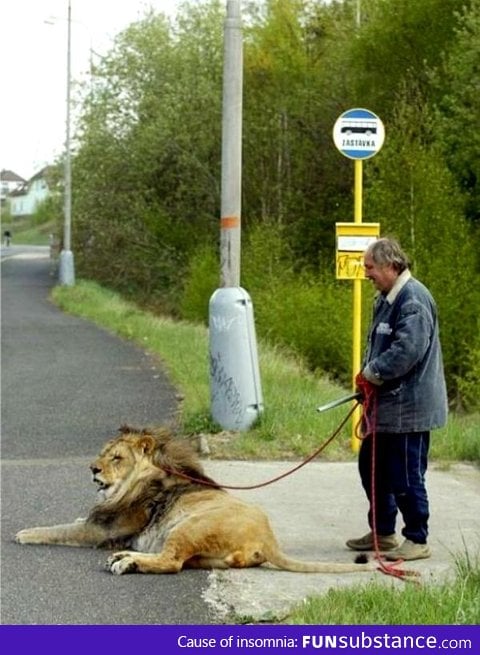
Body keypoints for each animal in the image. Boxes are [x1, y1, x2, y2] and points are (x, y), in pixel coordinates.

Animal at [15, 426, 376, 576]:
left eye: (116, 458)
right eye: (103, 453)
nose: (92, 468)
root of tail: (268, 539)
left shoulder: (102, 530)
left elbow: (57, 529)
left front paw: (23, 533)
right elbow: (73, 521)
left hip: (188, 527)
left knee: (171, 563)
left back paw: (126, 563)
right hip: (205, 553)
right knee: (175, 560)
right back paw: (125, 558)